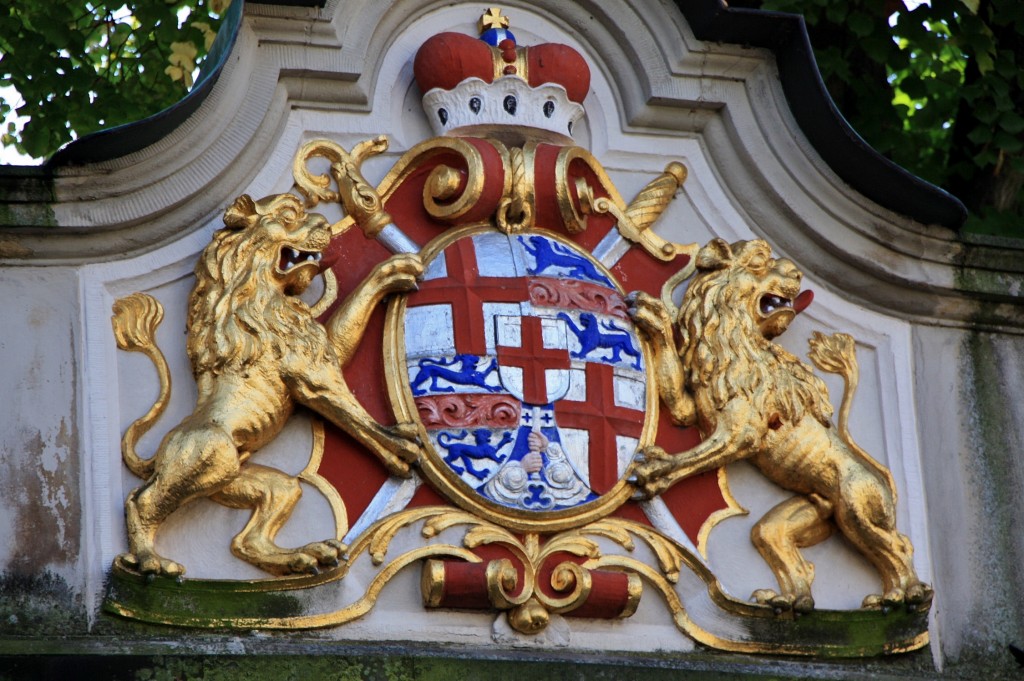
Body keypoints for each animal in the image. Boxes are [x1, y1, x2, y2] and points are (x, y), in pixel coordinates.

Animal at [115, 192, 423, 577]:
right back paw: (149, 560)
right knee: (140, 501)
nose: (325, 225)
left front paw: (393, 272)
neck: (261, 296)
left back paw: (305, 554)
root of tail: (160, 454)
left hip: (258, 484)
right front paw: (400, 445)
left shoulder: (321, 352)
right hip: (210, 458)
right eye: (289, 215)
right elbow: (355, 417)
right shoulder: (311, 377)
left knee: (245, 541)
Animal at [626, 237, 933, 610]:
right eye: (759, 261)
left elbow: (696, 457)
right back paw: (791, 601)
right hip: (812, 514)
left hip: (857, 508)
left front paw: (654, 471)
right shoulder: (695, 408)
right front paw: (651, 316)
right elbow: (676, 395)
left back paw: (906, 593)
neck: (737, 338)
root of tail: (886, 484)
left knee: (897, 545)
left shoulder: (742, 432)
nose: (798, 272)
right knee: (781, 545)